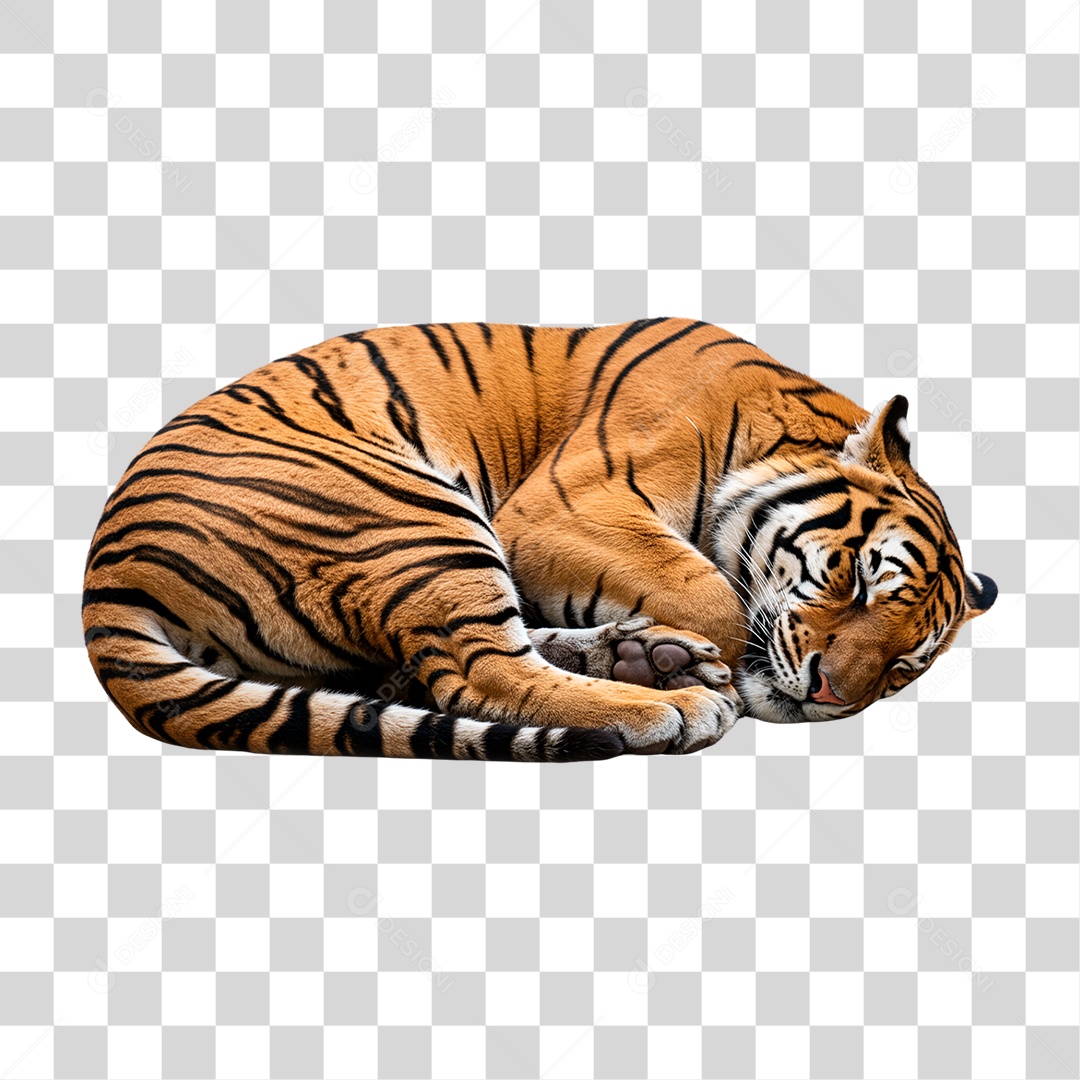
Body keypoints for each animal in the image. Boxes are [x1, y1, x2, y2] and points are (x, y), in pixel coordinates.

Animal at [82, 318, 997, 763]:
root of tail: (106, 571)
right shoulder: (565, 505)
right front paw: (720, 666)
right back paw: (667, 699)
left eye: (904, 666)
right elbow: (713, 595)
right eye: (858, 580)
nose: (831, 695)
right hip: (416, 514)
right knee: (478, 672)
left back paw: (646, 658)